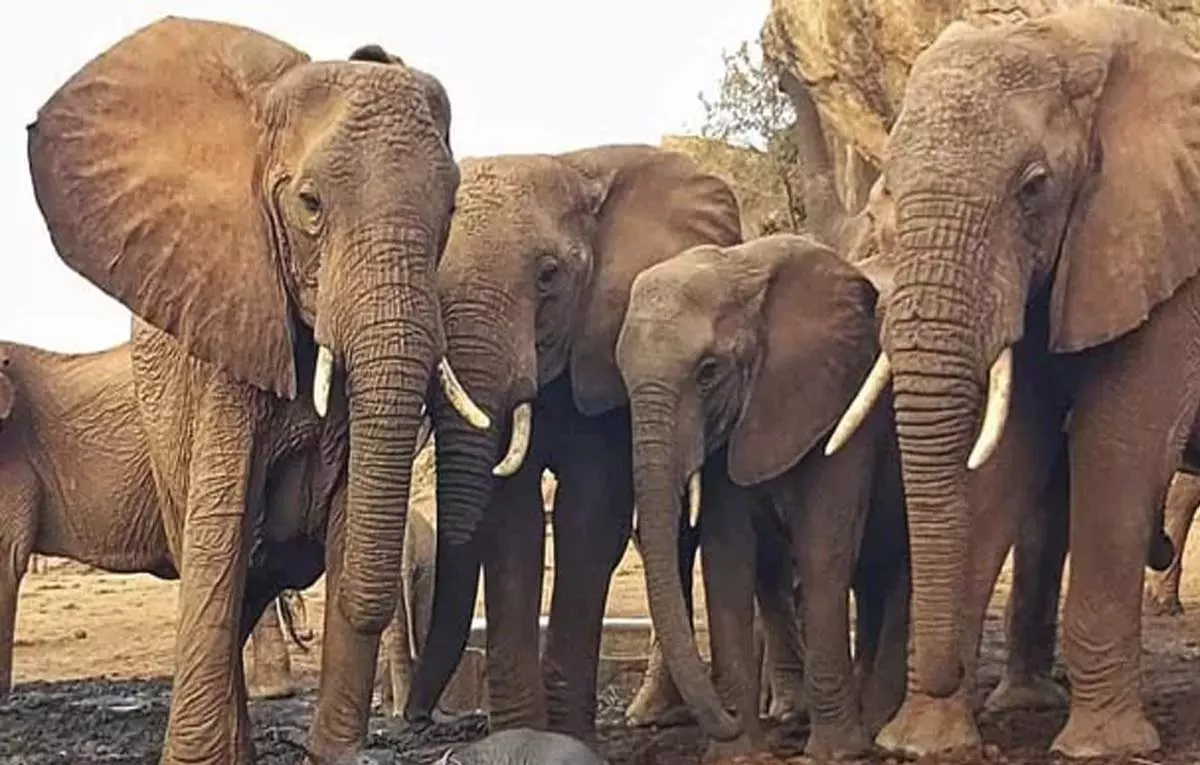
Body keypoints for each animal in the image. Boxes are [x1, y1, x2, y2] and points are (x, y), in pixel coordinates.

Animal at [404, 145, 744, 740]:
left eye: (548, 276)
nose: (418, 718)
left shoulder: (603, 353)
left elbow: (589, 516)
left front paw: (565, 737)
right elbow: (512, 523)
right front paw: (520, 734)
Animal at [615, 233, 909, 758]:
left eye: (708, 372)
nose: (725, 718)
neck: (740, 270)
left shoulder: (838, 396)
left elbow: (823, 547)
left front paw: (837, 754)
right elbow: (728, 555)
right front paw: (739, 754)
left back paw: (878, 727)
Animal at [821, 5, 1200, 758]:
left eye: (1034, 187)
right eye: (888, 192)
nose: (942, 672)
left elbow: (1121, 444)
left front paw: (1101, 747)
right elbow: (1007, 453)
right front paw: (924, 742)